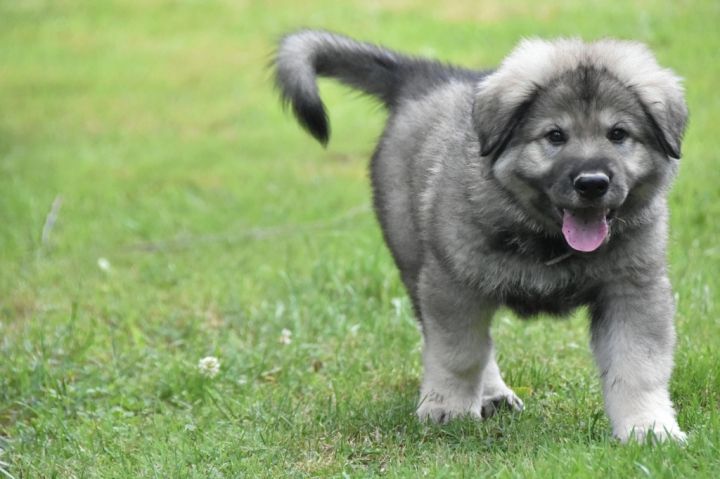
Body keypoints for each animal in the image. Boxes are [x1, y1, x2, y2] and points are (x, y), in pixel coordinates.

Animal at [273, 31, 688, 442]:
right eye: (555, 136)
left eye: (618, 134)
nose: (592, 183)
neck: (547, 238)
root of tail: (425, 78)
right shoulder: (454, 285)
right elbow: (460, 354)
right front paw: (450, 408)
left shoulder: (632, 289)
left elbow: (637, 366)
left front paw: (649, 426)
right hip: (415, 260)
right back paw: (488, 393)